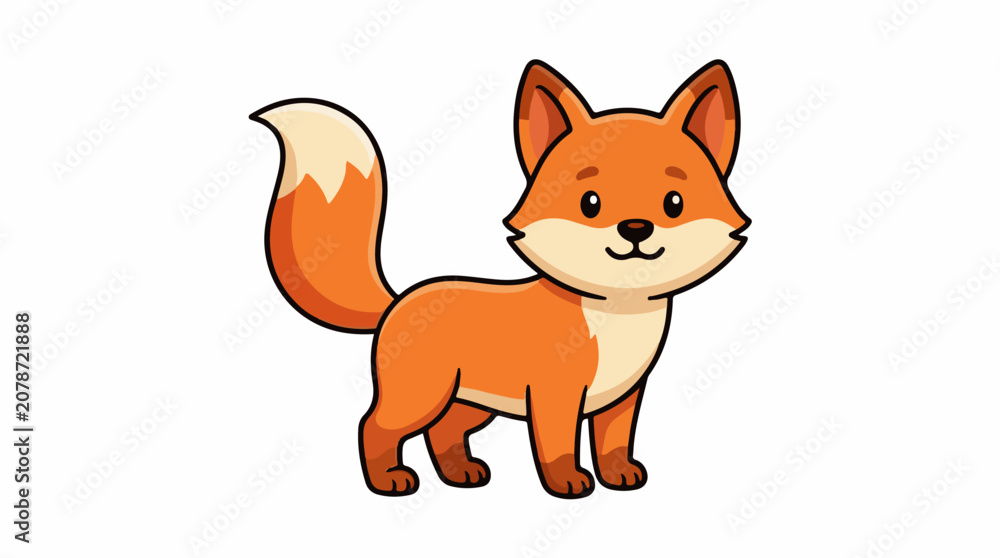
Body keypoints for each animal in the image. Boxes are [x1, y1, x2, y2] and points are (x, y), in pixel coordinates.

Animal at [251, 59, 750, 499]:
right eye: (590, 202)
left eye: (673, 203)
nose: (635, 228)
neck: (613, 314)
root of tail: (400, 299)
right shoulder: (554, 397)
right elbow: (557, 448)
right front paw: (567, 484)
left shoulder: (622, 398)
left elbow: (612, 444)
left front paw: (619, 476)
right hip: (421, 397)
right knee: (373, 427)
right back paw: (389, 480)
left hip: (470, 405)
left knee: (442, 433)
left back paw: (461, 474)